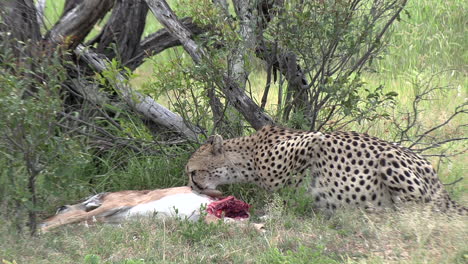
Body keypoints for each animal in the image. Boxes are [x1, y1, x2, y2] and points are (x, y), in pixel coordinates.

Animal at [187, 125, 468, 214]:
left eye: (192, 172)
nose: (190, 186)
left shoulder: (315, 139)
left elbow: (284, 188)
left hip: (390, 158)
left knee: (421, 212)